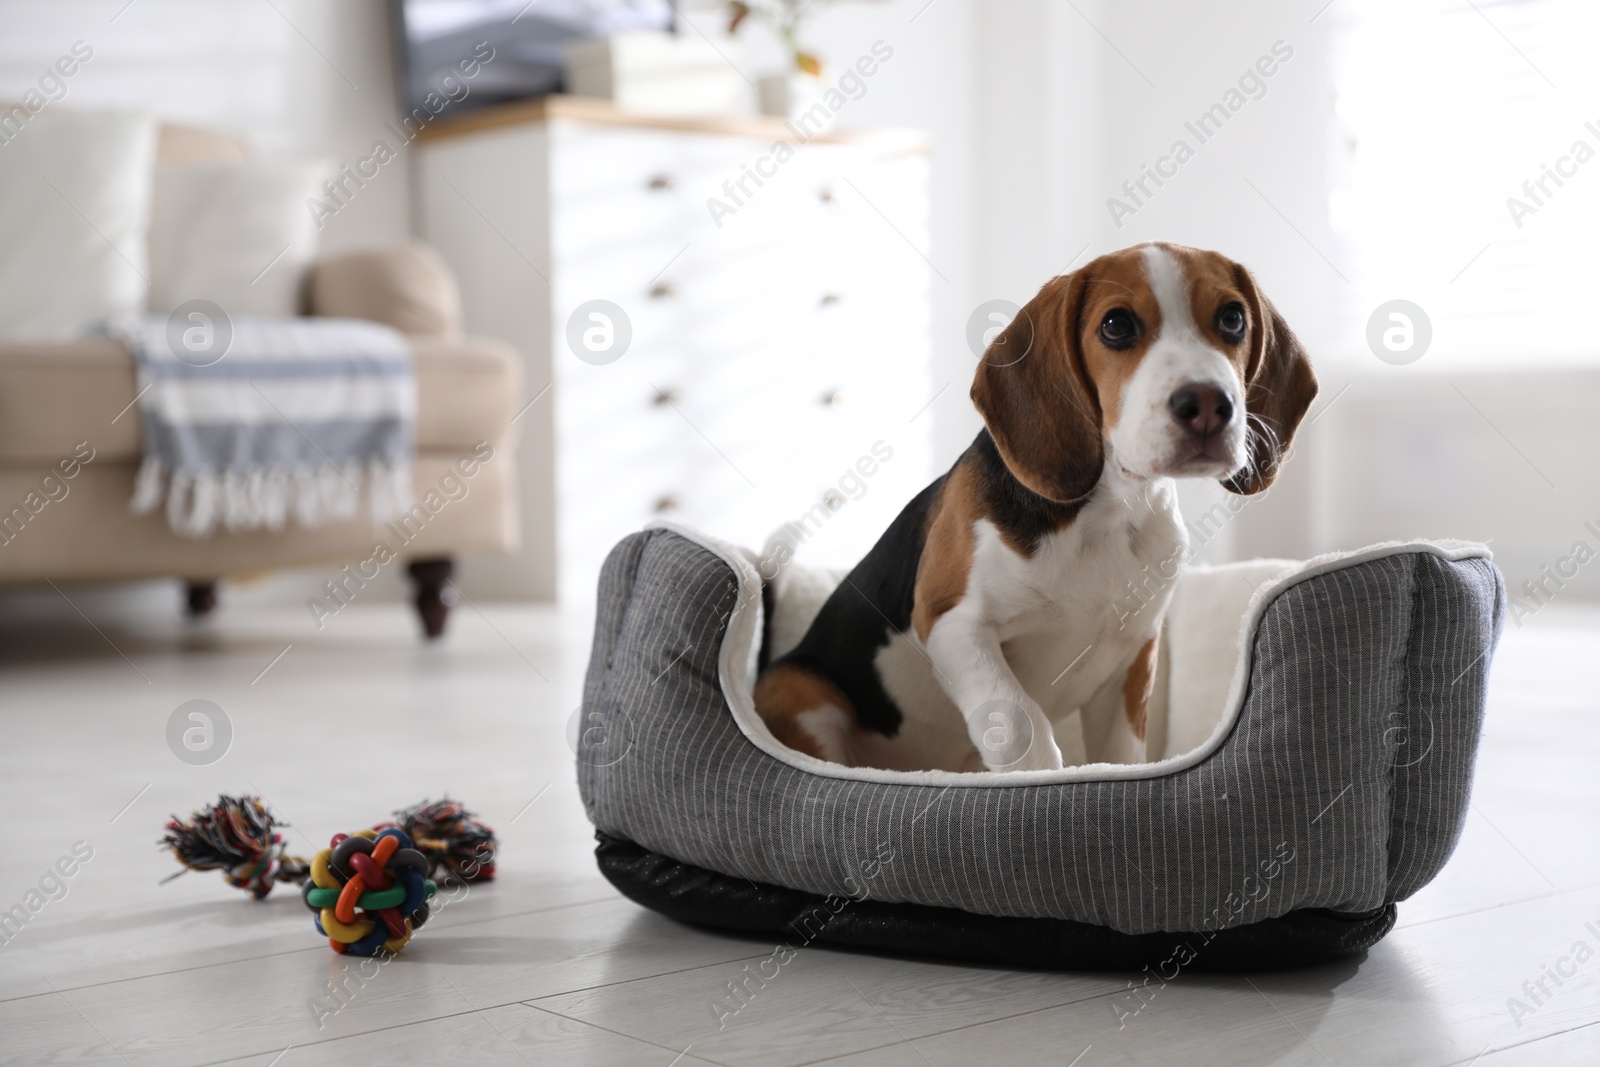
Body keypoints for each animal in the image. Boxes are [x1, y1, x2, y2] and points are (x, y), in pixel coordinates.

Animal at [755, 244, 1318, 767]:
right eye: (1116, 325)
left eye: (1232, 318)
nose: (1206, 404)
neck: (1107, 513)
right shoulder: (952, 621)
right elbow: (1022, 726)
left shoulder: (1131, 659)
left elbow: (1119, 758)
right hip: (796, 690)